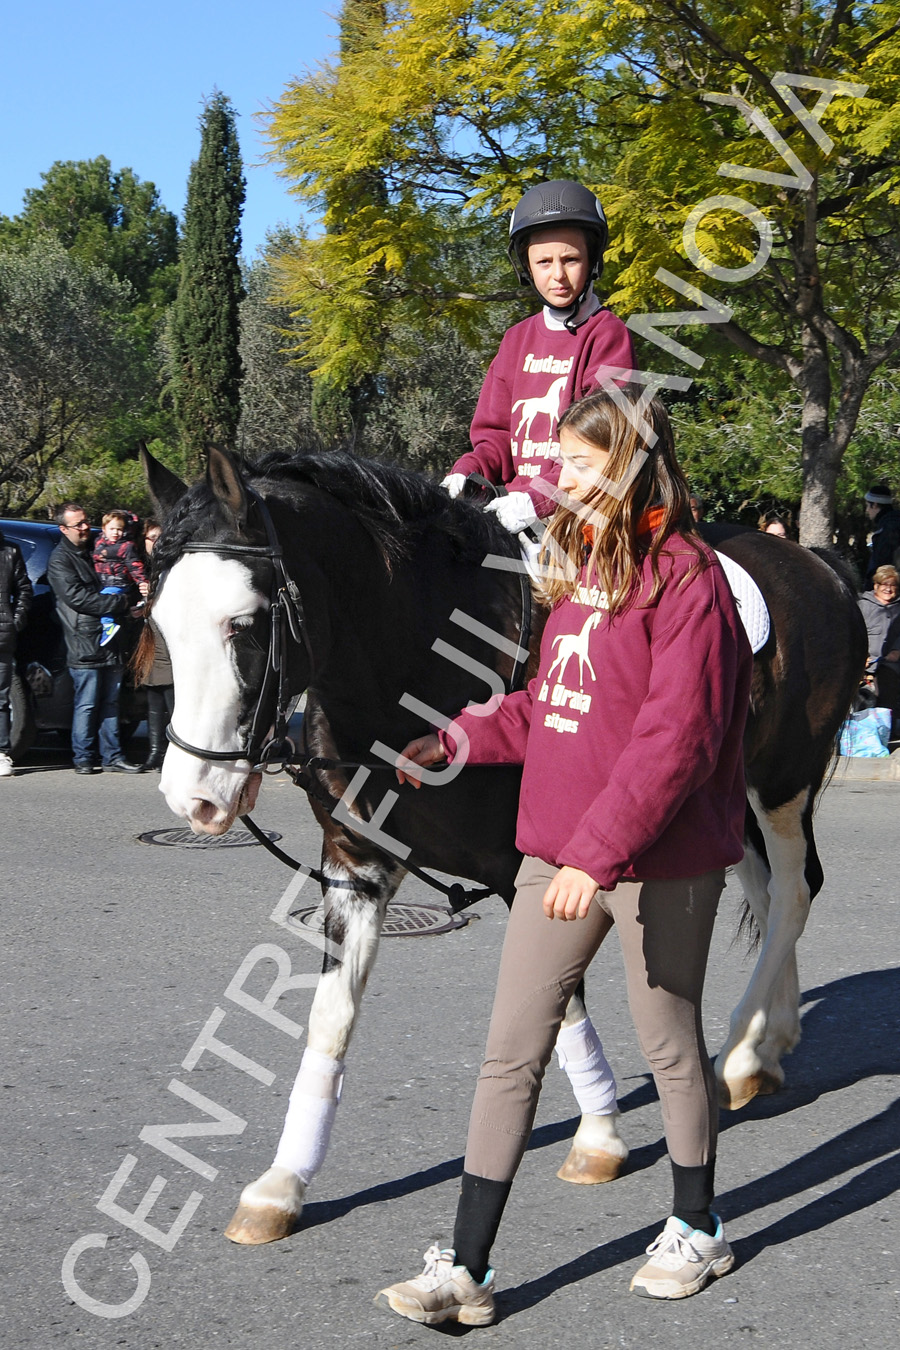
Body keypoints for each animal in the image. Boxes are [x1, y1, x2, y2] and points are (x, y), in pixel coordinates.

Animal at [141, 445, 863, 1242]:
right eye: (159, 622)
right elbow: (329, 1021)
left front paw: (599, 1134)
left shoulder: (534, 865)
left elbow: (556, 1000)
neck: (423, 666)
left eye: (244, 623)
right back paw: (771, 1039)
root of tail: (819, 562)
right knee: (766, 895)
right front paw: (283, 1182)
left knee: (793, 892)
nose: (193, 795)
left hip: (783, 781)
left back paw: (738, 1053)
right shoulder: (356, 867)